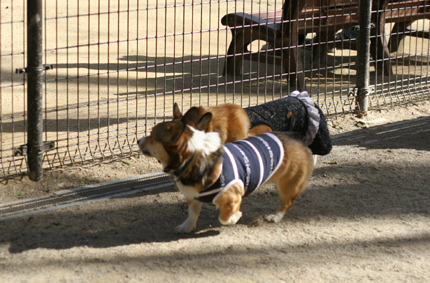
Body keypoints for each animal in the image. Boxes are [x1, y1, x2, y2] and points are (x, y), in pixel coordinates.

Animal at [139, 106, 314, 233]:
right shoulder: (193, 196)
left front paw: (235, 217)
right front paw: (187, 227)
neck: (193, 159)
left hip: (287, 184)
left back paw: (275, 216)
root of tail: (294, 136)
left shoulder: (232, 197)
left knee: (288, 202)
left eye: (152, 136)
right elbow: (192, 213)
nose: (138, 140)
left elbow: (224, 217)